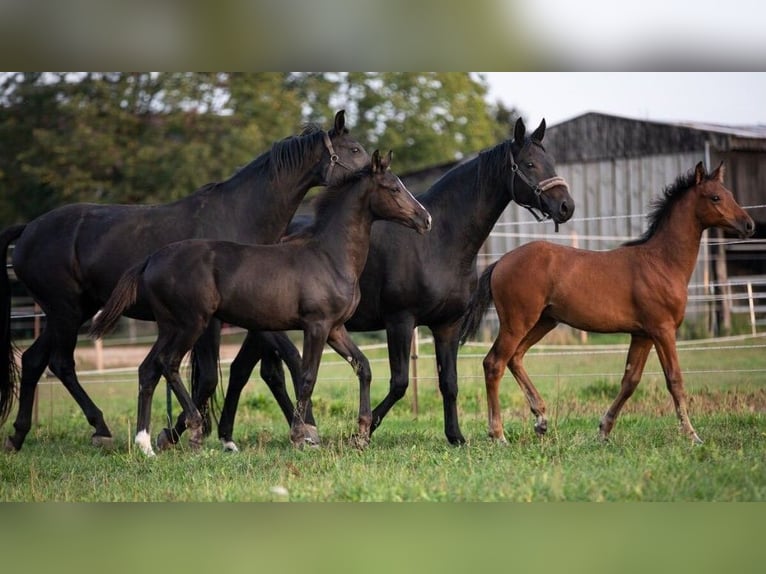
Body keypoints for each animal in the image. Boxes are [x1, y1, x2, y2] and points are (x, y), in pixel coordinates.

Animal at [0, 110, 370, 452]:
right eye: (354, 149)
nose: (373, 171)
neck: (239, 214)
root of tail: (28, 229)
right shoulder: (218, 320)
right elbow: (214, 377)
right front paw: (180, 433)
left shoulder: (256, 315)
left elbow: (265, 367)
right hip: (65, 312)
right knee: (61, 363)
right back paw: (100, 429)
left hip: (71, 312)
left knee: (34, 361)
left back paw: (18, 436)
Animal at [90, 150, 431, 455]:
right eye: (393, 188)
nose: (425, 219)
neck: (328, 255)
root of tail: (151, 259)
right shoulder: (316, 326)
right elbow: (307, 377)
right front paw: (300, 436)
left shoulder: (336, 328)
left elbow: (363, 367)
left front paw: (360, 434)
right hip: (191, 324)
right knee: (168, 364)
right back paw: (194, 432)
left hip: (169, 326)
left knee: (148, 368)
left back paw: (145, 444)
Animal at [212, 117, 575, 450]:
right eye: (529, 164)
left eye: (551, 162)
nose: (566, 207)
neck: (439, 240)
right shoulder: (400, 321)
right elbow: (399, 383)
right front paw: (363, 430)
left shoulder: (447, 325)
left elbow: (449, 382)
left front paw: (455, 436)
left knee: (248, 370)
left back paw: (232, 435)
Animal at [459, 162, 755, 444]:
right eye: (715, 197)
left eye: (729, 194)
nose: (749, 225)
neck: (662, 262)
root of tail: (500, 262)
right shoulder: (663, 330)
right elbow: (675, 380)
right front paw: (693, 435)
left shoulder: (642, 335)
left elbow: (630, 381)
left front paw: (603, 430)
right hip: (517, 322)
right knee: (494, 363)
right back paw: (498, 434)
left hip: (544, 321)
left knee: (516, 357)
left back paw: (541, 419)